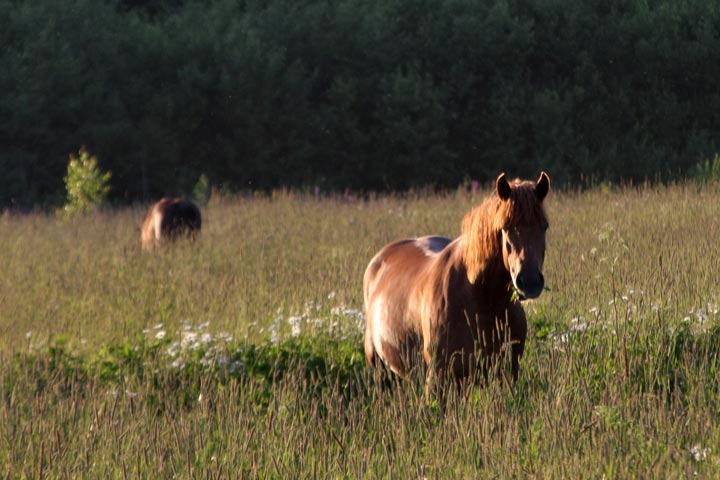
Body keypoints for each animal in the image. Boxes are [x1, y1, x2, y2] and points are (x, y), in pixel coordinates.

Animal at [366, 172, 552, 390]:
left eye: (544, 226)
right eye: (505, 227)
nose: (530, 282)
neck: (481, 299)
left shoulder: (507, 373)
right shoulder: (438, 377)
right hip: (381, 369)